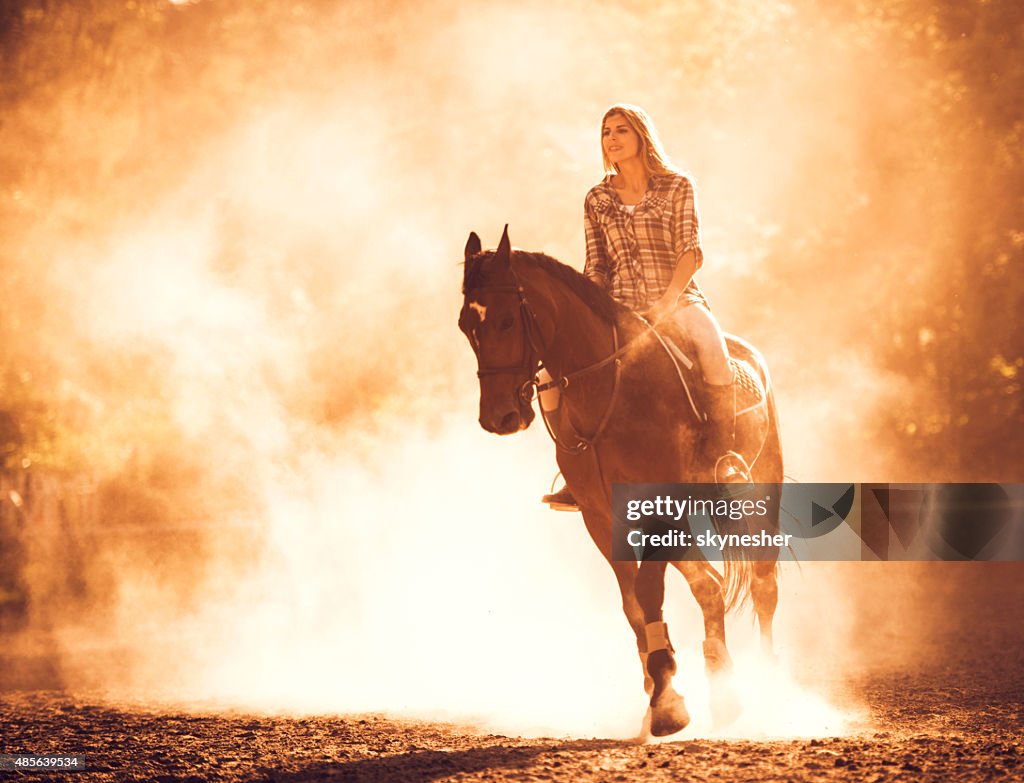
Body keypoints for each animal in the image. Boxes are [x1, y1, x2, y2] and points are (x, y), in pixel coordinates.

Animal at [458, 227, 782, 741]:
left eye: (507, 321)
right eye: (464, 326)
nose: (499, 418)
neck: (612, 386)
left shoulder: (660, 508)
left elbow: (648, 591)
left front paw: (667, 704)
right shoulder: (600, 516)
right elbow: (634, 604)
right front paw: (659, 694)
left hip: (761, 498)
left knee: (764, 587)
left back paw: (767, 693)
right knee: (709, 586)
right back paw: (722, 693)